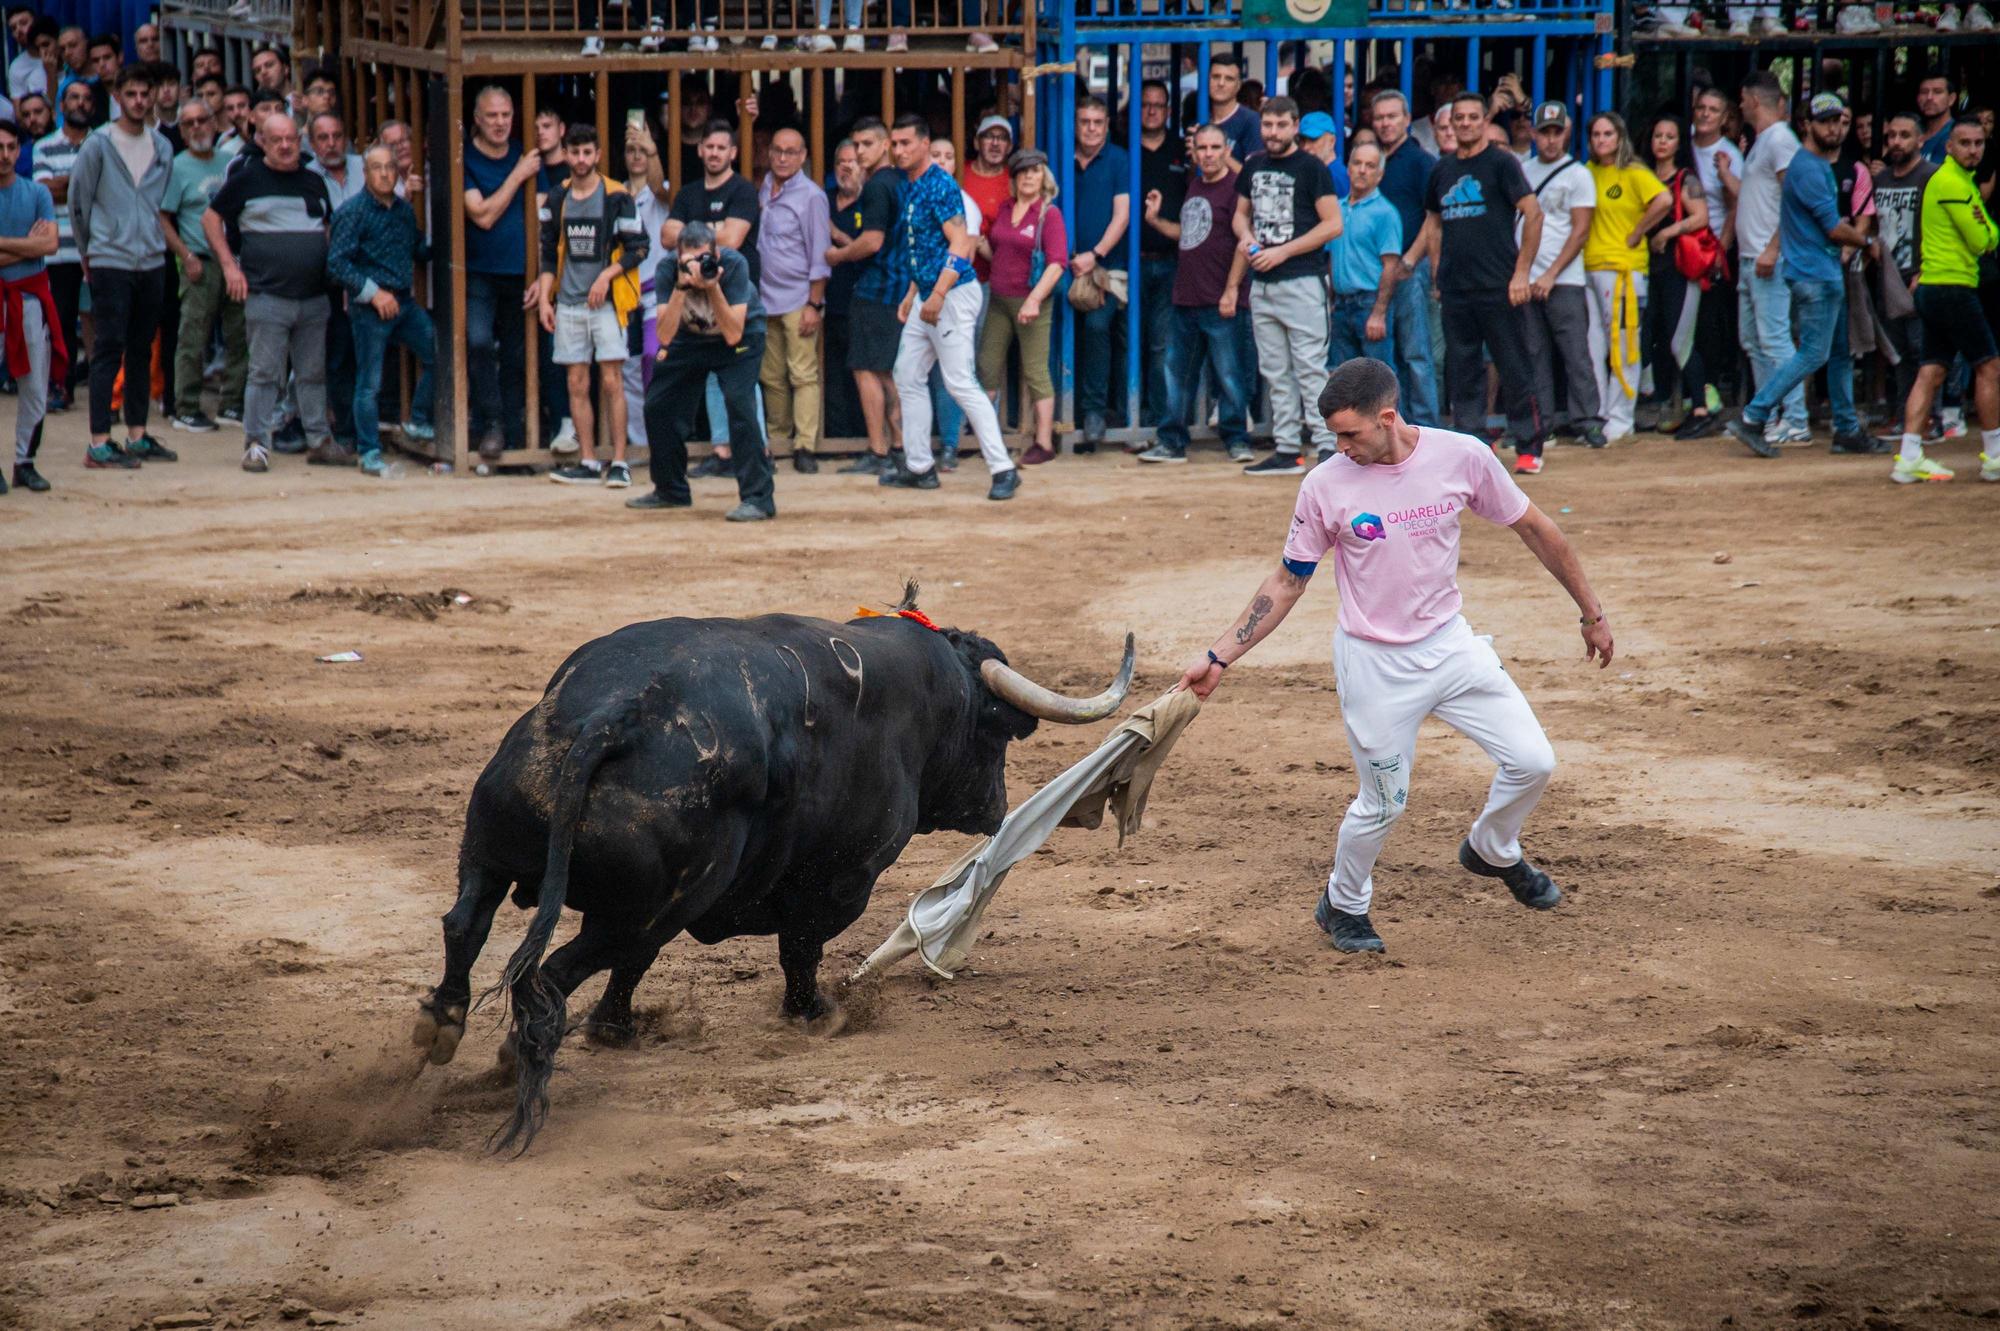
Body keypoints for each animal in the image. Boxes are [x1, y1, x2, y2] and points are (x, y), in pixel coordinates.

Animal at [408, 607, 1136, 1143]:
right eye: (995, 733)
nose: (996, 805)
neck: (924, 693)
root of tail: (613, 717)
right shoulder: (842, 879)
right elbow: (800, 947)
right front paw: (813, 1014)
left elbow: (638, 965)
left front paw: (615, 1030)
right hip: (655, 898)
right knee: (553, 974)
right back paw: (513, 1057)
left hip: (502, 848)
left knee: (468, 925)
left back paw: (442, 1027)